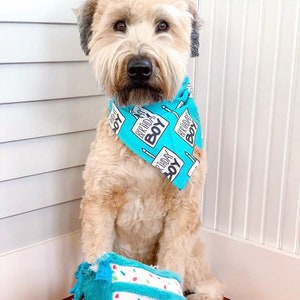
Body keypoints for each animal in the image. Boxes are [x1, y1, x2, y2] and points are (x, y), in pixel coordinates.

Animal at [76, 1, 224, 298]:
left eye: (163, 25)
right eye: (119, 25)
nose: (139, 67)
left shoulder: (183, 210)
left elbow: (172, 262)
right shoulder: (99, 202)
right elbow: (96, 253)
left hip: (195, 256)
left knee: (211, 284)